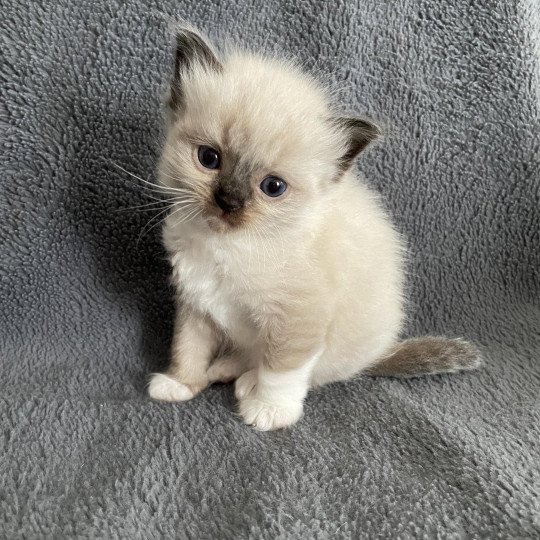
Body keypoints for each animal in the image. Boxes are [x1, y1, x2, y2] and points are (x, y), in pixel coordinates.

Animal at [148, 27, 480, 430]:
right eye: (209, 159)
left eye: (273, 187)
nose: (229, 202)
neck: (230, 247)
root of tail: (381, 352)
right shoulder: (196, 303)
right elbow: (188, 347)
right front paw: (180, 384)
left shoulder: (298, 318)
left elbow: (281, 370)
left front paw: (269, 411)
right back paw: (223, 371)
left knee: (309, 372)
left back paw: (246, 384)